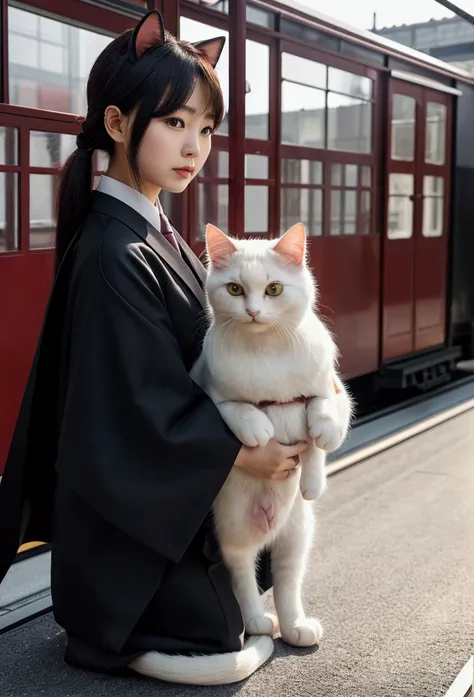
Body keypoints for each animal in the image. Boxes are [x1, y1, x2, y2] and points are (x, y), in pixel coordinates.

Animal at [130, 223, 352, 684]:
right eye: (234, 289)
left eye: (273, 289)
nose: (252, 311)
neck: (267, 351)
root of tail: (269, 528)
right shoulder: (208, 392)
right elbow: (235, 410)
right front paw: (258, 428)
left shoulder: (330, 384)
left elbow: (324, 414)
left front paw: (316, 466)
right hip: (233, 531)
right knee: (241, 578)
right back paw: (258, 621)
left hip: (298, 534)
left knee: (287, 583)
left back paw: (297, 627)